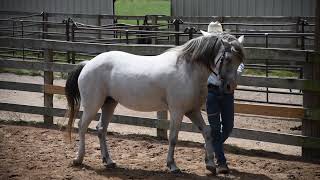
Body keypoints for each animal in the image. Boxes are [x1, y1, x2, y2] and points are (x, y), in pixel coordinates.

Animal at [65, 31, 245, 174]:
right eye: (228, 59)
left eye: (239, 61)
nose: (230, 87)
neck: (188, 71)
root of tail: (88, 64)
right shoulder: (177, 111)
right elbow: (173, 137)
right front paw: (172, 166)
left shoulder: (192, 111)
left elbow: (207, 132)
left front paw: (210, 165)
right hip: (92, 105)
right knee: (82, 126)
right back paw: (78, 159)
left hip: (109, 103)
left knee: (101, 129)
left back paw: (108, 161)